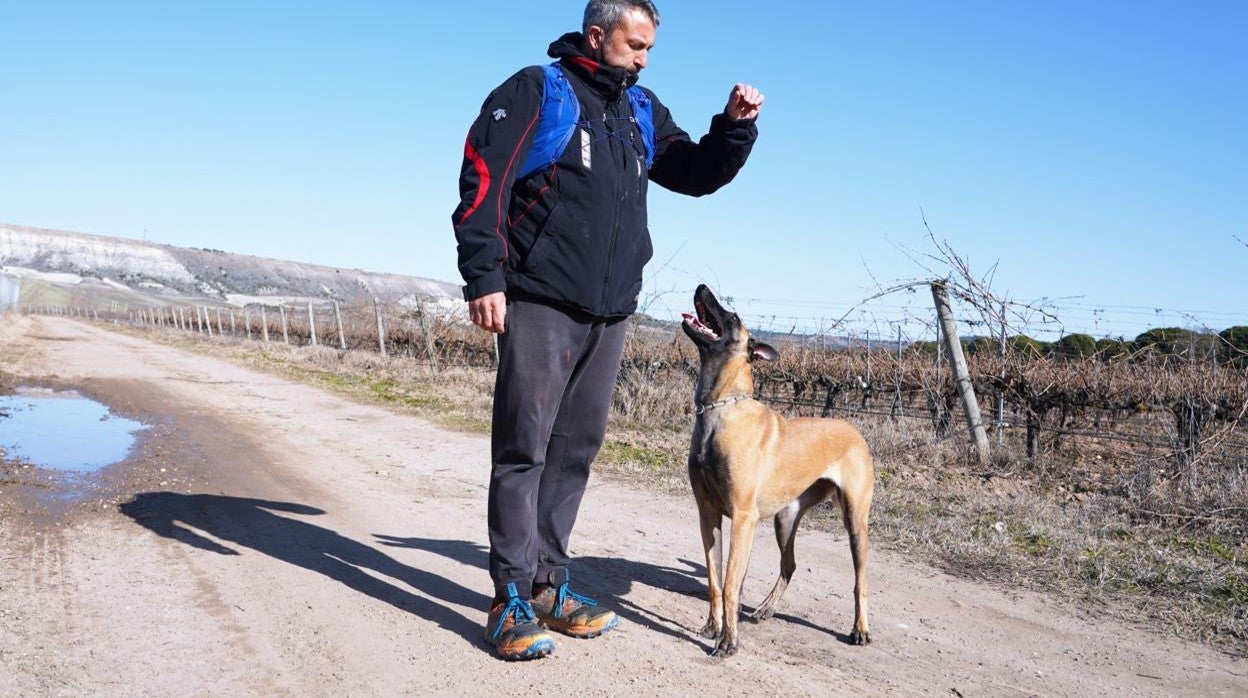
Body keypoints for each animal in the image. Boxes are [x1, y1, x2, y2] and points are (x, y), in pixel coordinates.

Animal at [683, 284, 878, 654]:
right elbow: (715, 580)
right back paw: (765, 608)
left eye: (733, 316)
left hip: (855, 522)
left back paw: (860, 629)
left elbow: (730, 584)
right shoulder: (706, 514)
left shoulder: (742, 518)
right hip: (785, 519)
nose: (701, 286)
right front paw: (714, 627)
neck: (720, 410)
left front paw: (728, 641)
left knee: (861, 580)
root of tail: (855, 430)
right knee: (789, 564)